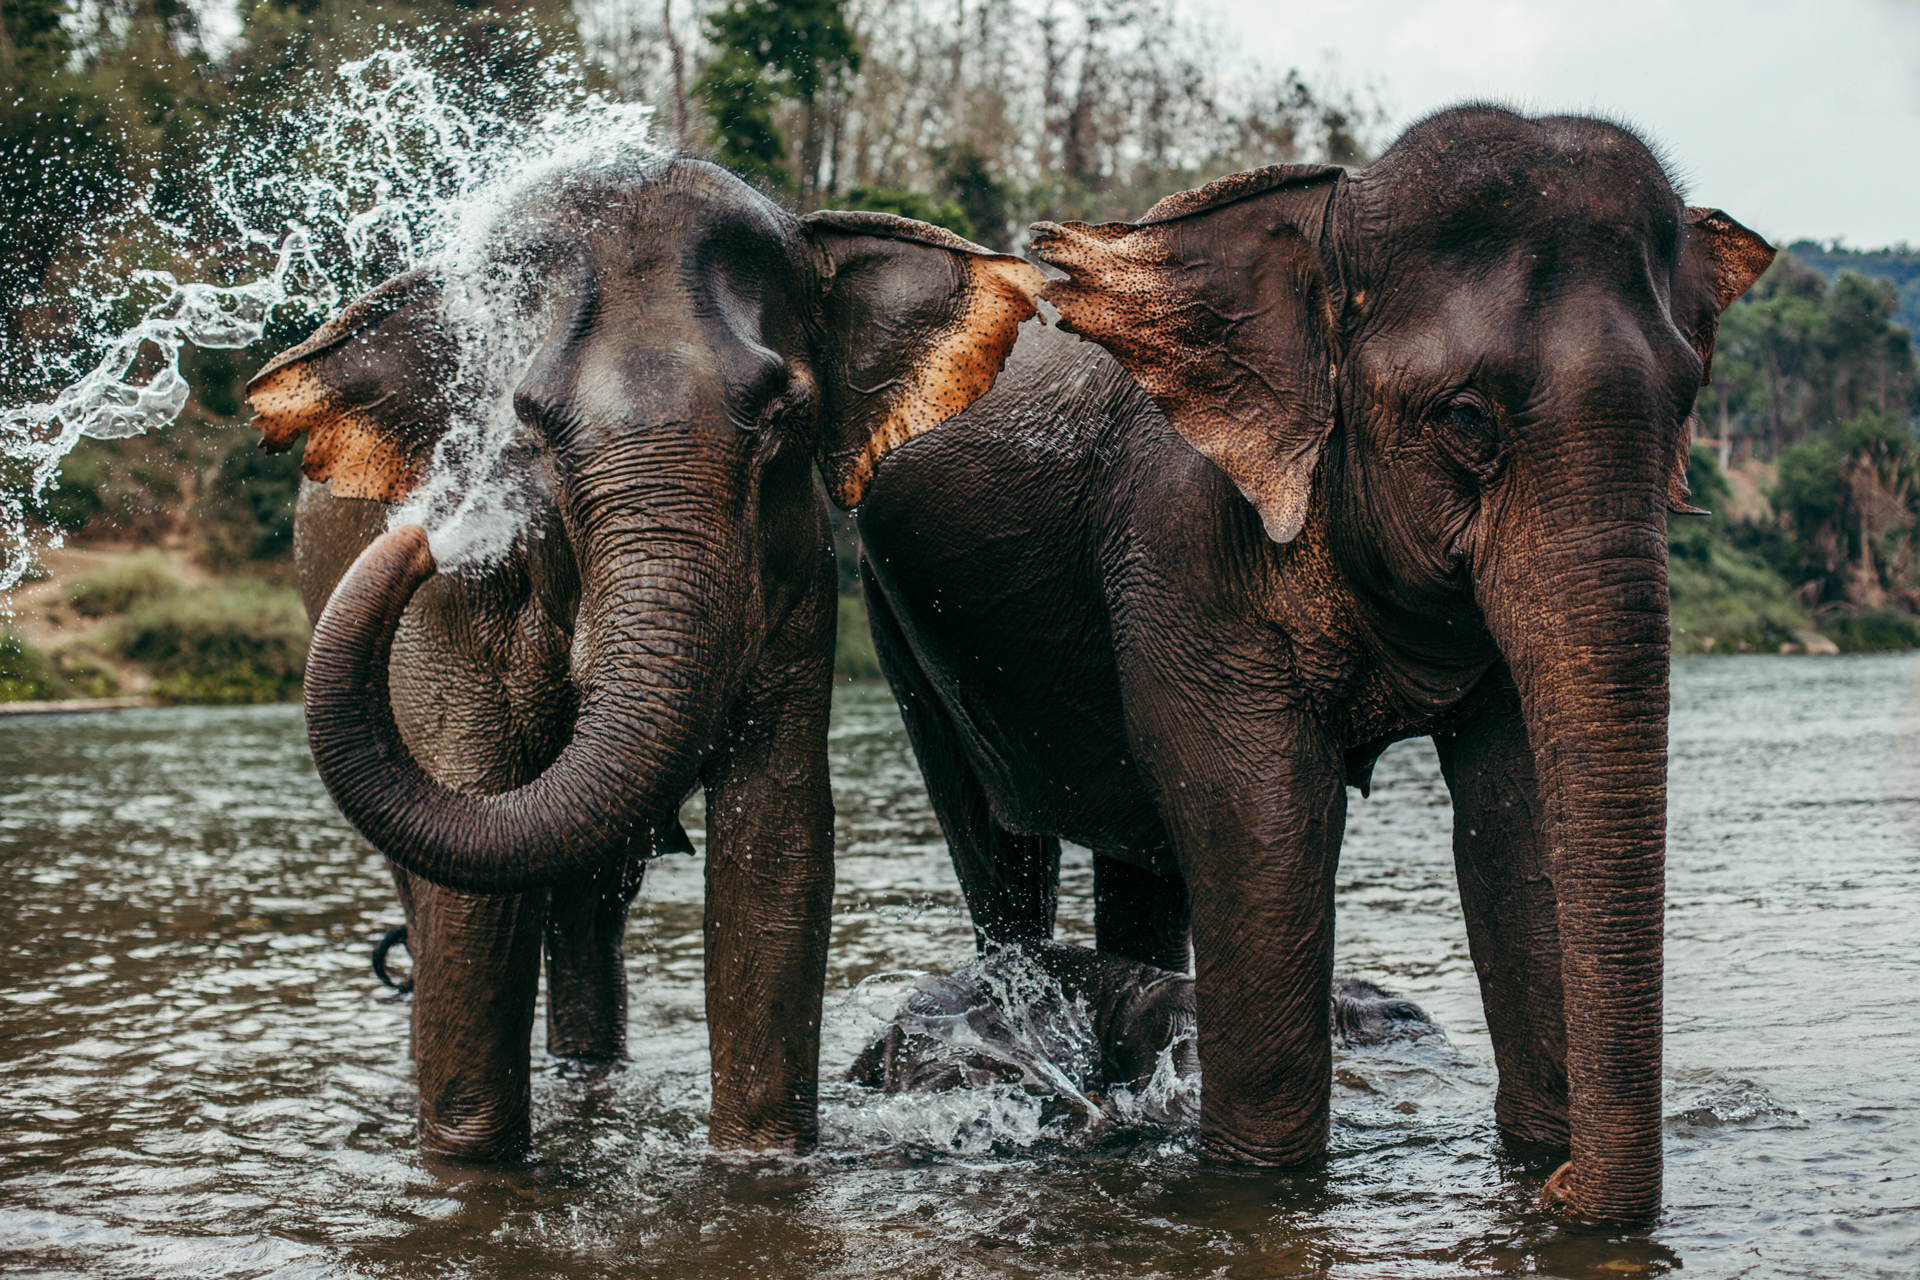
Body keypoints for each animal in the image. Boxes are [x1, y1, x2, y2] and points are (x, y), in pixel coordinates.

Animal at [244, 156, 1044, 1159]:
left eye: (782, 415)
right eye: (527, 427)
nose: (427, 534)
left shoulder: (797, 580)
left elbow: (774, 847)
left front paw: (759, 1163)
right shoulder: (452, 614)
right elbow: (473, 881)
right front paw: (469, 1165)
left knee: (588, 904)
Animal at [851, 105, 1773, 1221]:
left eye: (1686, 406)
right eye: (1466, 419)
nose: (1558, 1193)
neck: (1333, 215)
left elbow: (1515, 818)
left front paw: (1534, 1155)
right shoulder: (1182, 539)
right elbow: (1266, 815)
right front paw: (1262, 1183)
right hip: (895, 614)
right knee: (1001, 846)